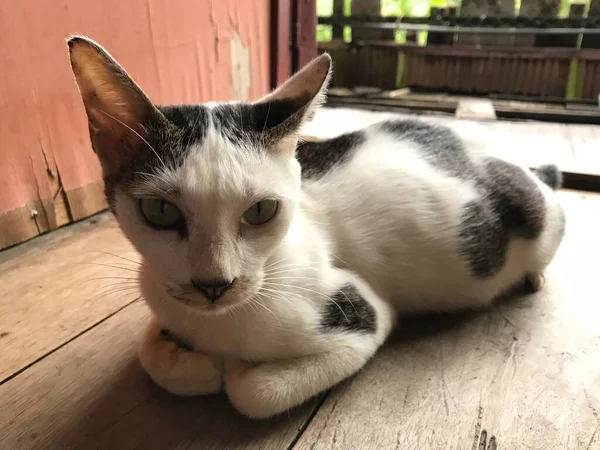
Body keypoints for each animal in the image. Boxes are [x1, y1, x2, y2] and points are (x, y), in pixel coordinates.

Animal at [68, 37, 564, 420]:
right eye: (160, 211)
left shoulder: (364, 314)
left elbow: (253, 393)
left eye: (261, 211)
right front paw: (187, 360)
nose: (214, 284)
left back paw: (533, 275)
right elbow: (148, 348)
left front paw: (230, 369)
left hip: (542, 216)